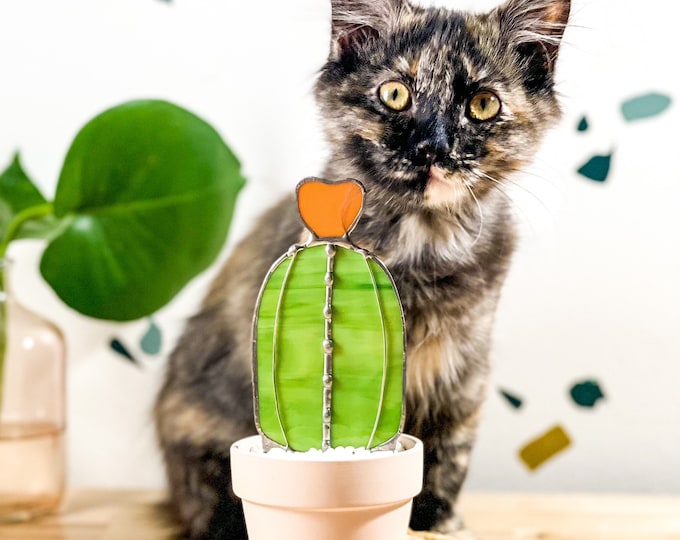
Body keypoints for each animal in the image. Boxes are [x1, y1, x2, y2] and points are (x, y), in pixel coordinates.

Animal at [154, 1, 568, 536]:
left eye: (482, 104)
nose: (433, 148)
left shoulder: (462, 374)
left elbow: (448, 459)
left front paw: (438, 523)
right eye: (395, 94)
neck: (425, 241)